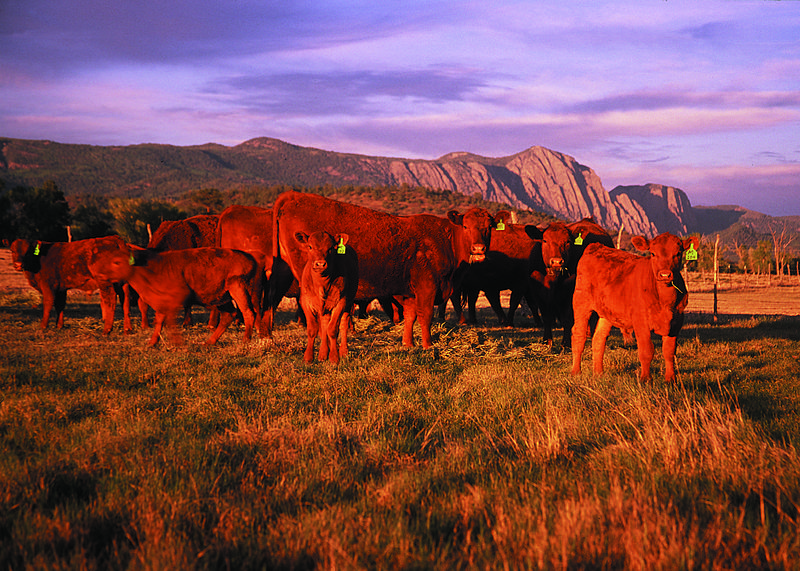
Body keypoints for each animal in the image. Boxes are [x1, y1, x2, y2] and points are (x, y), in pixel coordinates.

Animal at [88, 239, 262, 346]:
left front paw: (176, 343)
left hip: (238, 289)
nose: (99, 273)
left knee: (248, 313)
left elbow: (170, 322)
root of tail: (249, 256)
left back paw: (246, 339)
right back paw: (209, 342)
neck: (149, 267)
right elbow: (159, 321)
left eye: (117, 262)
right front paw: (153, 343)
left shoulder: (174, 300)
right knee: (229, 315)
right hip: (220, 297)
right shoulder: (161, 302)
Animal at [276, 192, 500, 348]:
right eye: (465, 226)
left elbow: (410, 315)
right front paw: (428, 345)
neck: (444, 240)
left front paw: (408, 343)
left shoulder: (410, 291)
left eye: (489, 226)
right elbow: (425, 315)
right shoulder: (426, 286)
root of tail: (295, 196)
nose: (478, 249)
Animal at [294, 231, 356, 362]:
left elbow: (332, 329)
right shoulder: (306, 302)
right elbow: (313, 329)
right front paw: (308, 357)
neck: (322, 285)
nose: (320, 264)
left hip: (349, 302)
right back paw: (323, 353)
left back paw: (343, 351)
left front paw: (334, 358)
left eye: (331, 248)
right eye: (310, 246)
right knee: (324, 324)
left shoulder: (341, 302)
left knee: (343, 324)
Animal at [568, 232, 692, 384]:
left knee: (599, 338)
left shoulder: (676, 323)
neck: (665, 302)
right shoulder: (641, 323)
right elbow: (646, 351)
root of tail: (596, 247)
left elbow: (669, 352)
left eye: (678, 253)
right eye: (653, 253)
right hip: (581, 304)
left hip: (606, 313)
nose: (665, 274)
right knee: (578, 335)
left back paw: (598, 373)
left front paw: (671, 379)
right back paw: (576, 372)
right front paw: (646, 379)